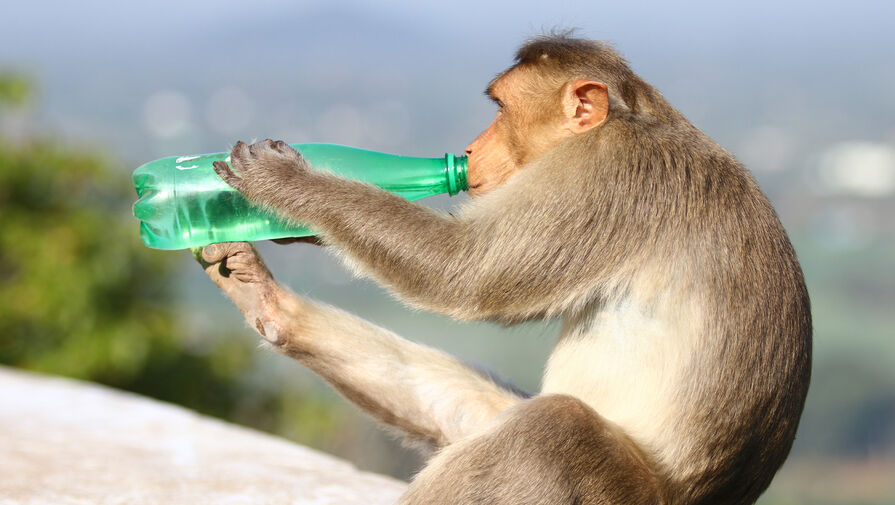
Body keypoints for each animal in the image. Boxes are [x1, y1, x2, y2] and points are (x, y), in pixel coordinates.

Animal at [198, 34, 811, 505]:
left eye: (499, 110)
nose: (469, 150)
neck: (633, 120)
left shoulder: (606, 173)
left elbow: (463, 271)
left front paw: (289, 186)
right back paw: (269, 306)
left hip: (614, 494)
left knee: (552, 431)